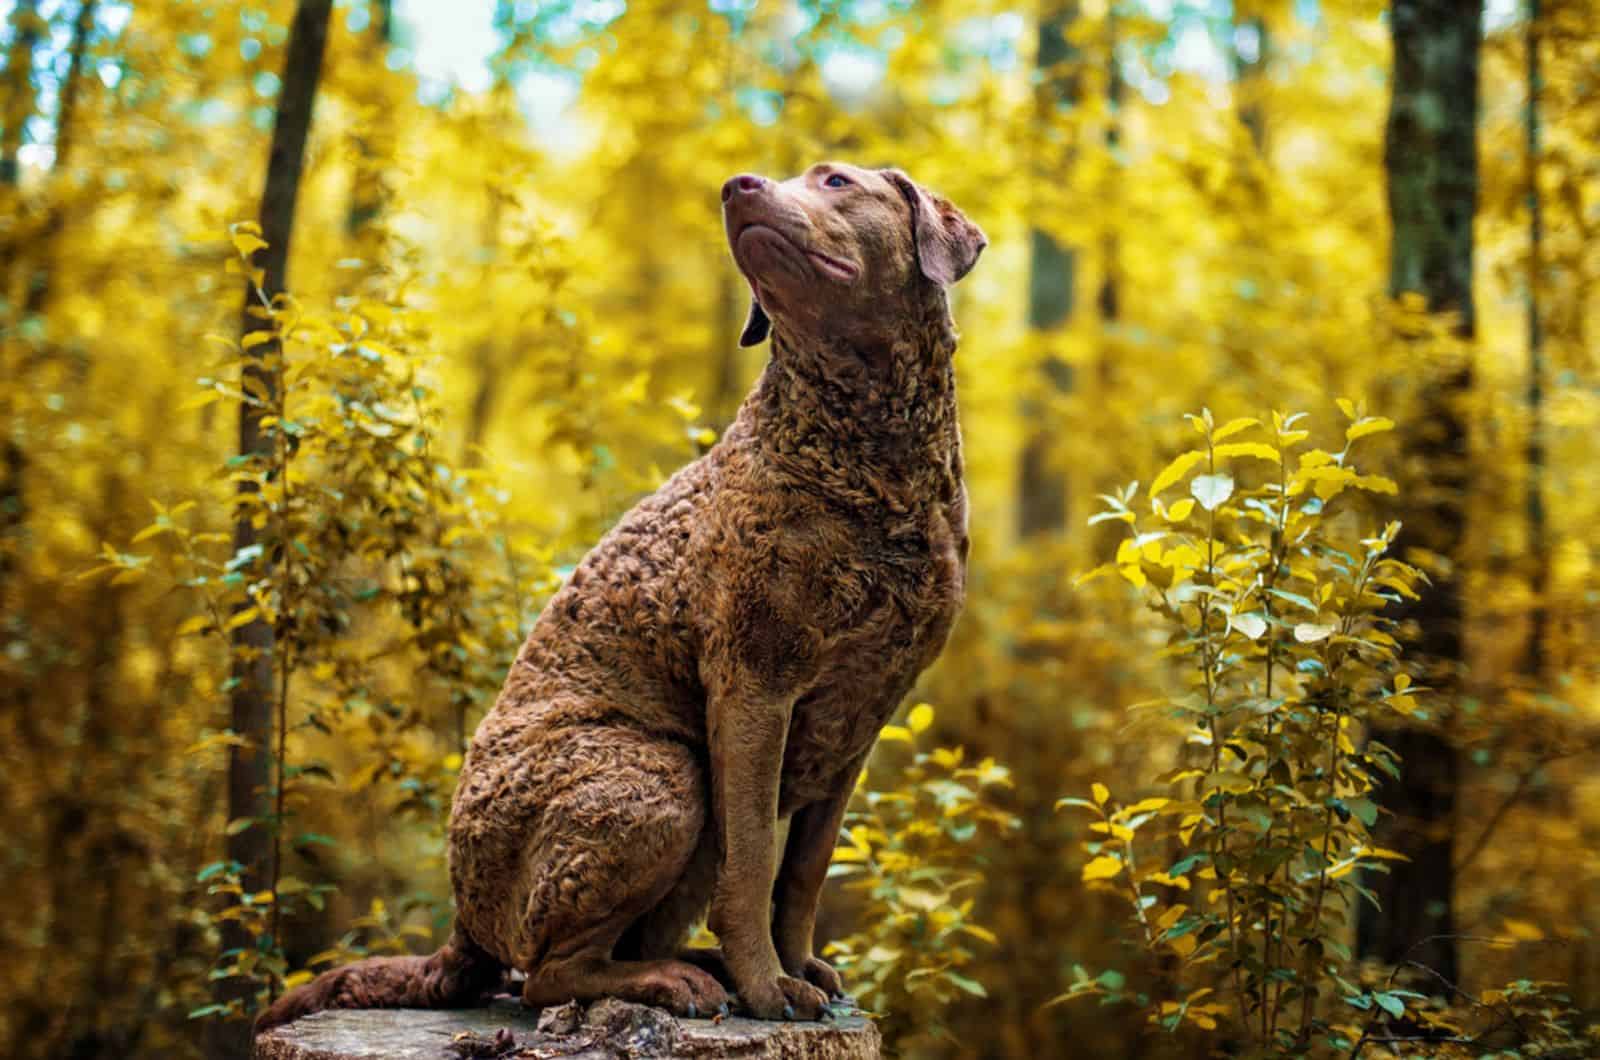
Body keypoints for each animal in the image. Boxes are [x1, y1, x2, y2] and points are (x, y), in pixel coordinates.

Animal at [259, 161, 985, 1031]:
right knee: (547, 973)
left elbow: (803, 873)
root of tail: (460, 925)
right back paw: (683, 982)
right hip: (657, 775)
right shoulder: (754, 685)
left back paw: (697, 966)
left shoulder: (861, 716)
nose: (737, 185)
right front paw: (771, 987)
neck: (867, 457)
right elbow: (753, 866)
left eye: (836, 180)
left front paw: (801, 965)